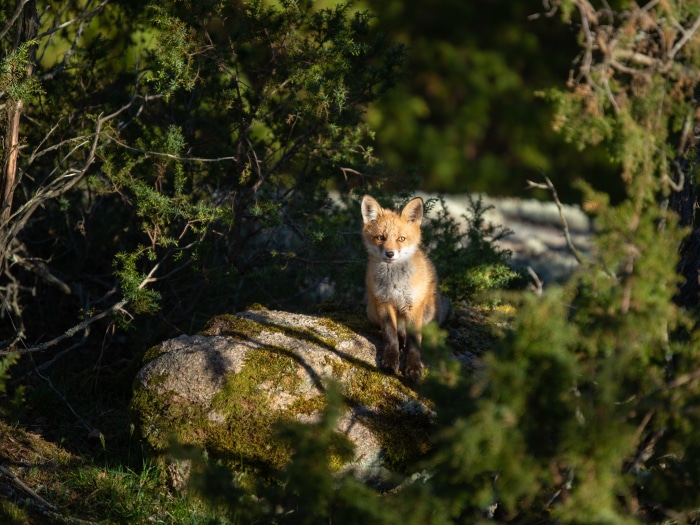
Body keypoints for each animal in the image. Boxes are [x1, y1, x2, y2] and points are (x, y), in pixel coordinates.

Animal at [361, 195, 450, 381]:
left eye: (401, 239)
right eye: (381, 237)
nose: (389, 254)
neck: (395, 283)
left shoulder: (413, 306)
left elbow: (414, 342)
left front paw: (413, 367)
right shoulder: (384, 303)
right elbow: (390, 335)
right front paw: (390, 360)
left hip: (431, 310)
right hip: (372, 312)